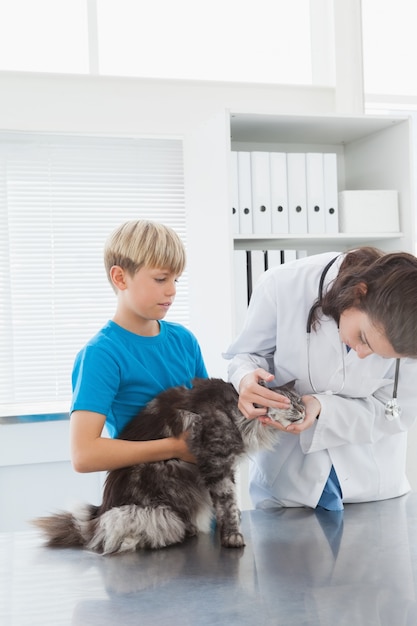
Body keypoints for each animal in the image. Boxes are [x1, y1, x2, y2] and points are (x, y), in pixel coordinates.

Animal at [32, 376, 304, 552]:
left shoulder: (226, 465)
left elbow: (228, 504)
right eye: (288, 402)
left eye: (300, 401)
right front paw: (232, 536)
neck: (238, 412)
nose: (303, 411)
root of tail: (99, 516)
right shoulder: (217, 463)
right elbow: (227, 503)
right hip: (154, 505)